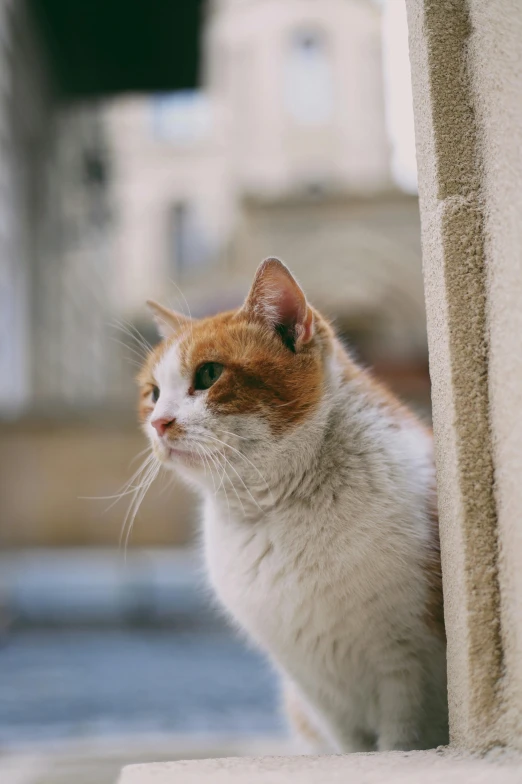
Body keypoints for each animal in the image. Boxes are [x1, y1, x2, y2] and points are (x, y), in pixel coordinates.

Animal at [138, 258, 446, 752]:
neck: (278, 508)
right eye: (152, 393)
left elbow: (400, 744)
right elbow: (352, 749)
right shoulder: (317, 689)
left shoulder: (410, 672)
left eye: (208, 375)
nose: (159, 422)